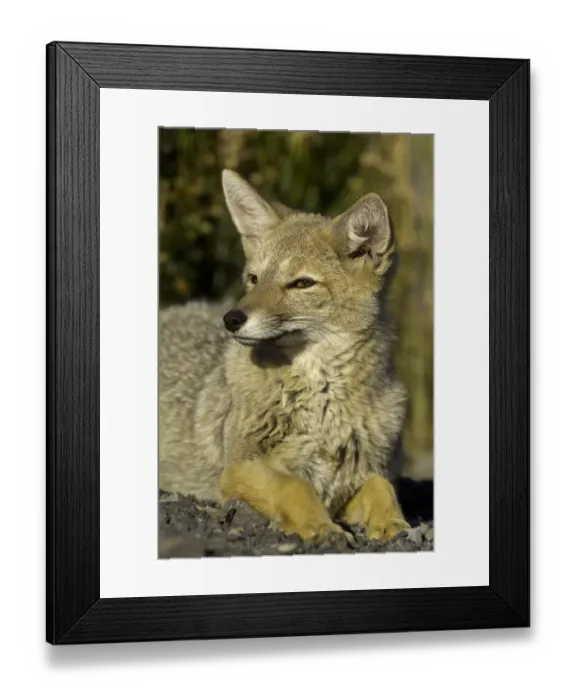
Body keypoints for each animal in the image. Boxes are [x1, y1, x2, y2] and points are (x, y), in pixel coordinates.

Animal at [159, 169, 410, 544]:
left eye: (302, 283)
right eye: (253, 279)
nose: (232, 319)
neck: (324, 407)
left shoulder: (354, 476)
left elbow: (382, 487)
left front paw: (393, 523)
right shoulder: (240, 468)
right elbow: (294, 487)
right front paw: (322, 527)